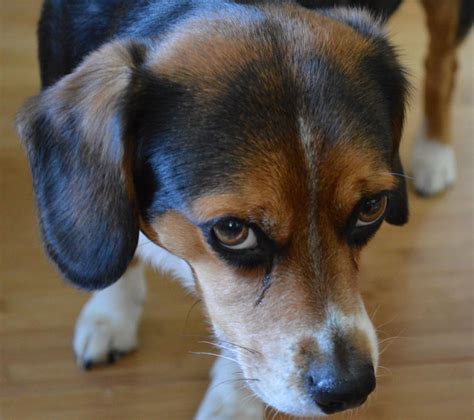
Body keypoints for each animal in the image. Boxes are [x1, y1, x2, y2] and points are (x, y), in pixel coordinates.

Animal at [16, 0, 472, 418]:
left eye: (371, 207)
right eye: (233, 231)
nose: (349, 388)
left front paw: (233, 402)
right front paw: (112, 314)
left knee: (444, 64)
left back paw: (434, 152)